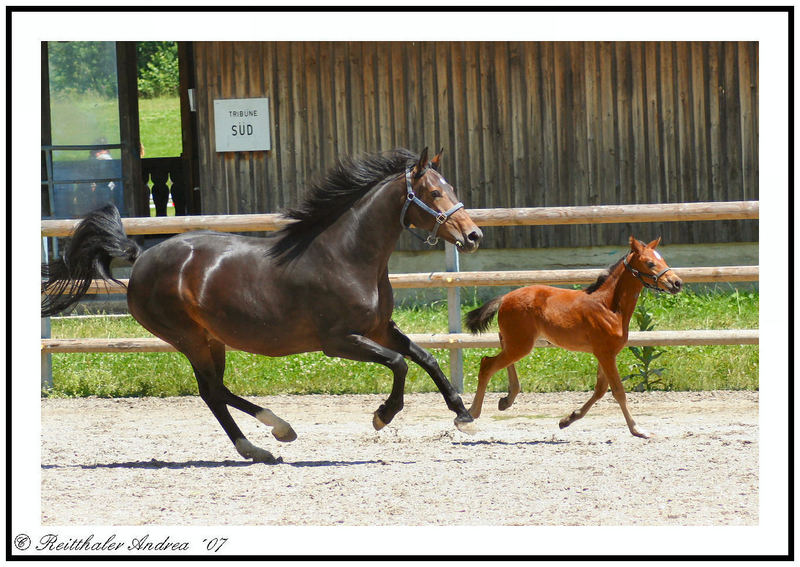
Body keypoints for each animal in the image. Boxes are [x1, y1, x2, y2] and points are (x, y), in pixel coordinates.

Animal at [43, 149, 484, 464]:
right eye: (433, 193)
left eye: (450, 187)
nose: (474, 236)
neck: (347, 255)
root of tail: (141, 259)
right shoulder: (340, 341)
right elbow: (400, 364)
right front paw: (383, 416)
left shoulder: (379, 329)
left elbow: (426, 357)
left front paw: (463, 417)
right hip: (188, 338)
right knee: (211, 392)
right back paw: (267, 439)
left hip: (212, 338)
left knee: (217, 390)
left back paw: (271, 436)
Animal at [462, 235, 680, 440]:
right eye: (650, 263)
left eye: (663, 259)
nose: (677, 283)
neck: (609, 307)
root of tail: (505, 298)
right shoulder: (605, 353)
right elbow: (618, 392)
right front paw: (638, 430)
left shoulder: (605, 354)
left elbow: (600, 389)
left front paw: (567, 419)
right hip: (520, 344)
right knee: (487, 364)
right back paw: (468, 416)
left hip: (515, 342)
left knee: (500, 361)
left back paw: (506, 399)